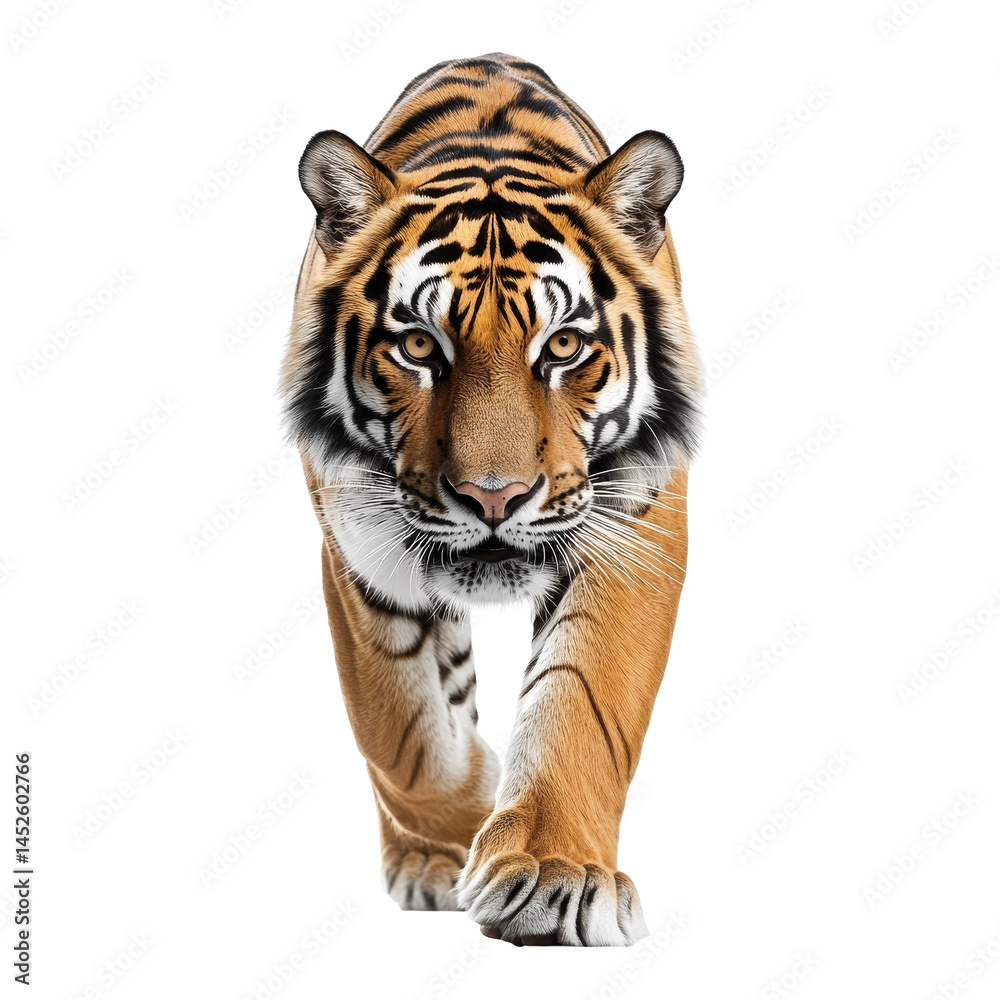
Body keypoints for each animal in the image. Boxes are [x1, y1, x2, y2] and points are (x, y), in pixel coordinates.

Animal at [280, 52, 701, 947]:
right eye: (417, 345)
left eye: (564, 345)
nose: (493, 497)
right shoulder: (357, 543)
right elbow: (400, 726)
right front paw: (450, 837)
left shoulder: (635, 524)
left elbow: (584, 698)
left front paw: (552, 873)